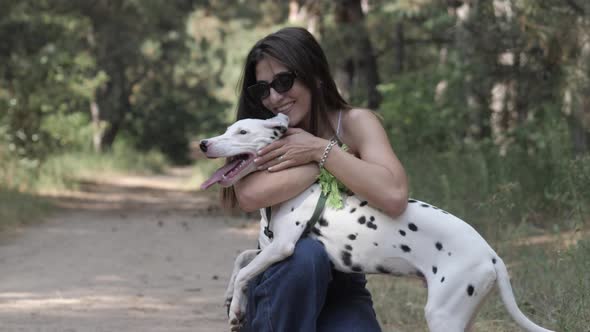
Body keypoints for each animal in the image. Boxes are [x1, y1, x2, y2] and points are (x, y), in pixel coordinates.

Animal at [201, 114, 556, 332]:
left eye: (242, 132)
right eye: (228, 129)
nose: (204, 143)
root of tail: (491, 256)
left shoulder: (283, 247)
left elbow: (246, 271)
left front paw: (237, 309)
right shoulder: (267, 246)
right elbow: (242, 261)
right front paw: (231, 295)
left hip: (443, 315)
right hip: (461, 314)